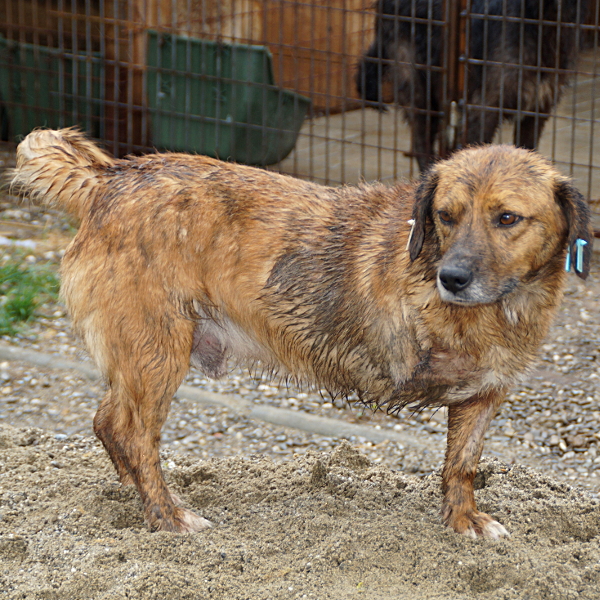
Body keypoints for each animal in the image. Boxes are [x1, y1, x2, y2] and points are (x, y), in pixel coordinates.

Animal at [9, 127, 592, 540]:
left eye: (508, 218)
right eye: (446, 216)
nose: (451, 279)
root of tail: (111, 177)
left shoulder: (484, 396)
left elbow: (462, 465)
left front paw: (462, 519)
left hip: (141, 357)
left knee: (108, 421)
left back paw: (137, 497)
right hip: (157, 352)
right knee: (133, 434)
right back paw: (169, 517)